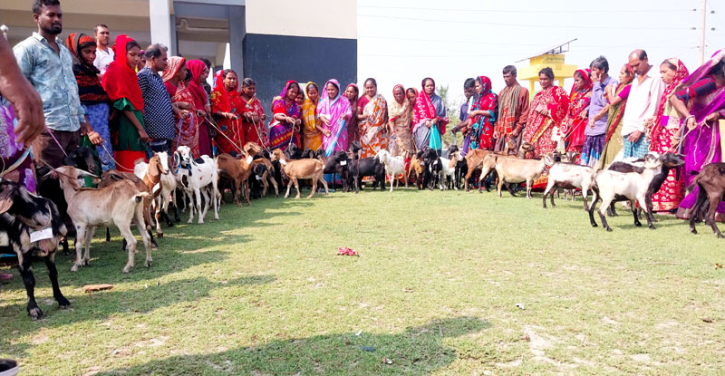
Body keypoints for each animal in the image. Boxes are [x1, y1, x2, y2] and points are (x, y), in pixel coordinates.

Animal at [0, 181, 70, 318]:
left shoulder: (51, 251)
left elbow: (53, 274)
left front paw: (61, 299)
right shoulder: (23, 251)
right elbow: (29, 280)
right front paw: (33, 309)